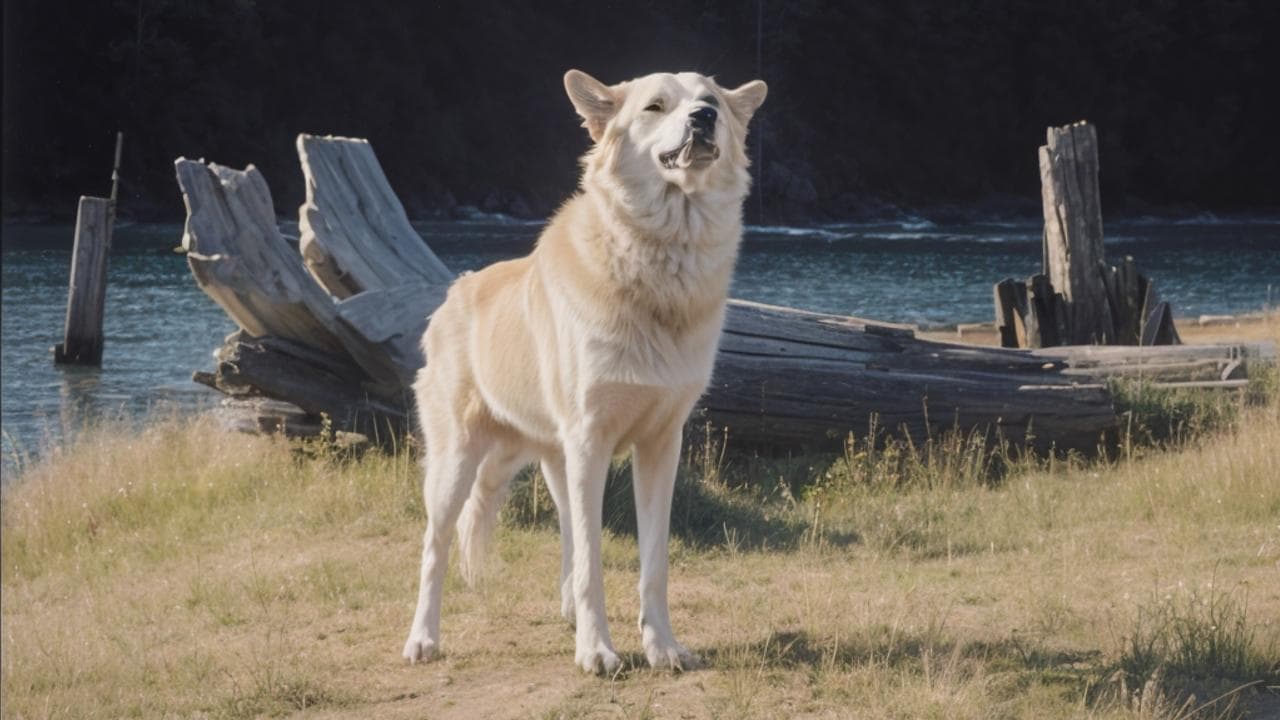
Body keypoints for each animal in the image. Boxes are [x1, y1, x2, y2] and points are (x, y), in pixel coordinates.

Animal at [404, 67, 762, 671]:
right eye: (656, 106)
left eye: (709, 99)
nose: (704, 119)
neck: (661, 260)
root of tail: (454, 291)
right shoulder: (591, 441)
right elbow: (594, 562)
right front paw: (597, 652)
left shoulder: (661, 445)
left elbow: (652, 563)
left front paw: (662, 647)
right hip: (457, 463)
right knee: (435, 548)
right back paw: (422, 639)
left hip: (555, 460)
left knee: (569, 532)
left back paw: (569, 615)